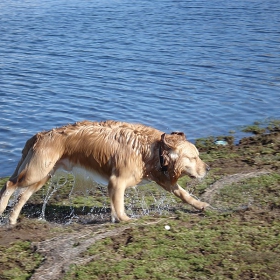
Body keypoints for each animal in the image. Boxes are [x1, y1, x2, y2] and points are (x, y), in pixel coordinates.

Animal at [0, 119, 210, 224]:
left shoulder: (162, 177)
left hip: (43, 174)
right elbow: (120, 206)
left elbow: (183, 193)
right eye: (193, 158)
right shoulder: (117, 181)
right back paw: (3, 207)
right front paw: (125, 218)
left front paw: (200, 204)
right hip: (36, 171)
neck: (151, 149)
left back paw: (12, 218)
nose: (208, 168)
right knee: (9, 184)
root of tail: (39, 135)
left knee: (22, 195)